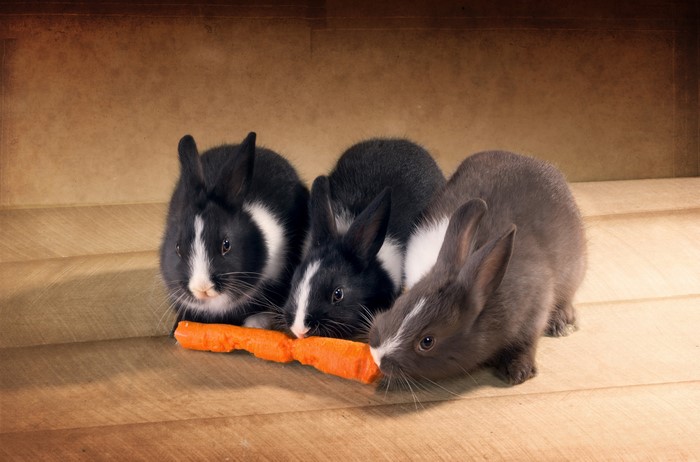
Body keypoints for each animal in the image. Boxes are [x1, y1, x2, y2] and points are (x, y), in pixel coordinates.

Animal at [369, 150, 587, 385]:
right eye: (398, 304)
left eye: (427, 341)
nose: (378, 356)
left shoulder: (535, 311)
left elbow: (526, 342)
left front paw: (517, 372)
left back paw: (562, 323)